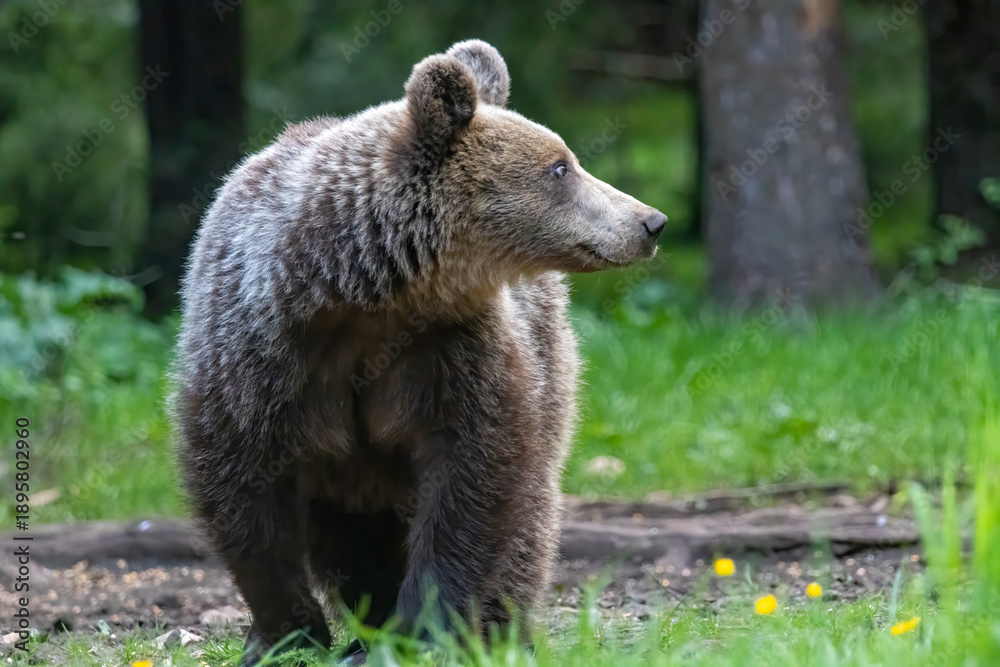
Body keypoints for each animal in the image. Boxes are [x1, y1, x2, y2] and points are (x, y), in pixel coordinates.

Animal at [172, 39, 666, 665]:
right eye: (561, 167)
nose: (651, 222)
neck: (363, 296)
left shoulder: (453, 352)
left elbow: (474, 477)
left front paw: (426, 630)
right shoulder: (260, 354)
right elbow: (242, 487)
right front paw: (284, 634)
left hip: (549, 366)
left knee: (529, 511)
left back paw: (497, 626)